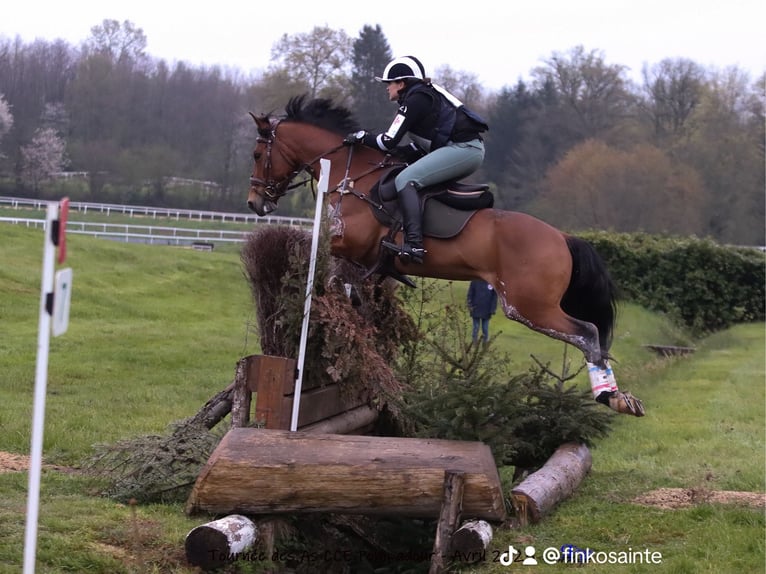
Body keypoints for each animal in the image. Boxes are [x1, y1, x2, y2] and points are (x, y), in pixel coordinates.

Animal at [249, 95, 644, 418]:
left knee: (588, 333)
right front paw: (351, 304)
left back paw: (610, 397)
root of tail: (562, 237)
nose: (255, 204)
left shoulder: (350, 243)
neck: (355, 175)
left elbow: (318, 255)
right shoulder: (360, 257)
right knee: (592, 336)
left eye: (256, 154)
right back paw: (620, 398)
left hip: (528, 306)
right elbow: (348, 281)